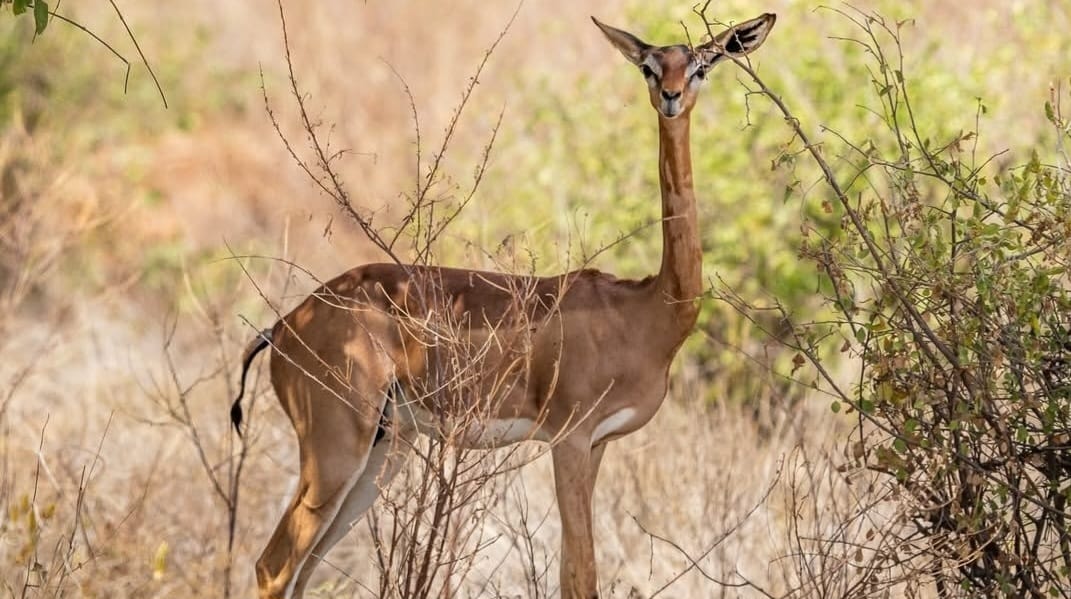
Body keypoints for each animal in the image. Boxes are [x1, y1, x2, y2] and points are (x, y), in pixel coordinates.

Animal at [232, 12, 775, 599]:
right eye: (650, 67)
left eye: (701, 65)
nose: (671, 97)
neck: (649, 312)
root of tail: (284, 326)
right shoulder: (569, 439)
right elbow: (582, 575)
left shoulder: (599, 444)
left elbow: (570, 574)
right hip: (336, 448)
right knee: (274, 565)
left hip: (384, 448)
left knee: (304, 569)